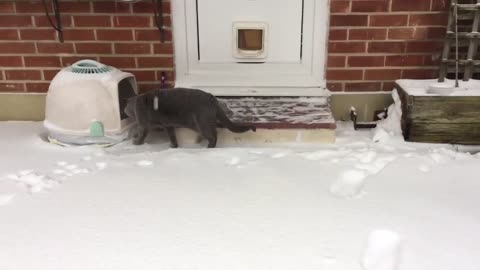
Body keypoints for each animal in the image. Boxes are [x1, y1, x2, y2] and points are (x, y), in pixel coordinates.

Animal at [125, 87, 256, 148]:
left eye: (125, 106)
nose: (124, 110)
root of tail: (212, 98)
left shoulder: (143, 124)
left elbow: (140, 133)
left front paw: (136, 142)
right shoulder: (169, 125)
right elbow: (172, 137)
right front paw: (173, 146)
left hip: (201, 121)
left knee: (213, 135)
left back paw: (208, 147)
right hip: (196, 123)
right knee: (213, 131)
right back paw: (199, 141)